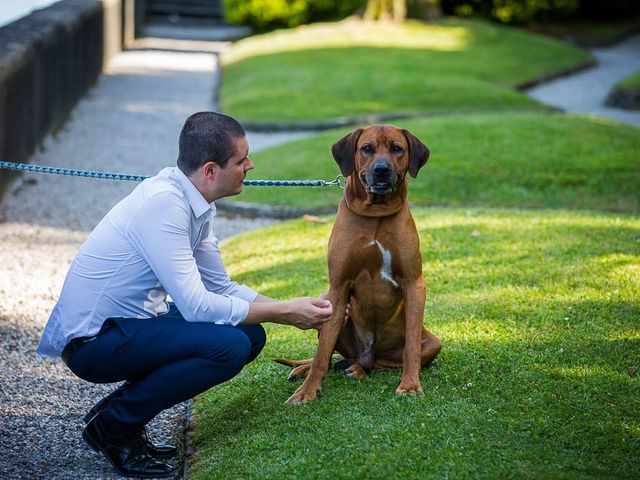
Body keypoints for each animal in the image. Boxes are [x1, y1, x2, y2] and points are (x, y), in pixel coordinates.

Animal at [278, 125, 442, 404]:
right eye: (367, 148)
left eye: (397, 148)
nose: (382, 169)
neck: (375, 214)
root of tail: (364, 354)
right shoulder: (337, 287)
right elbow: (322, 353)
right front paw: (308, 391)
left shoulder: (414, 283)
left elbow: (410, 348)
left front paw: (410, 385)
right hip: (329, 309)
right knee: (330, 355)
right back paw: (306, 369)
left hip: (432, 343)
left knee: (378, 363)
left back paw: (357, 369)